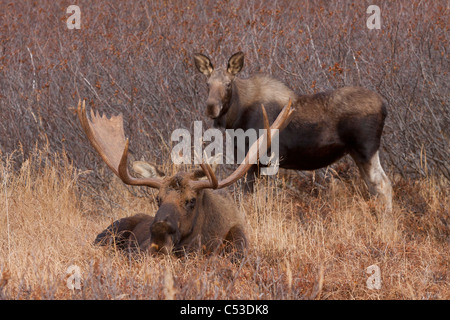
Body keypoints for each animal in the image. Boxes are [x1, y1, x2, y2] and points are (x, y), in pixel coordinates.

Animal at [195, 51, 392, 211]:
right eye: (207, 83)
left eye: (228, 84)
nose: (211, 107)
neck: (237, 117)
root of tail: (384, 106)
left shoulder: (264, 159)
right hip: (357, 153)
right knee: (374, 187)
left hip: (366, 149)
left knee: (383, 185)